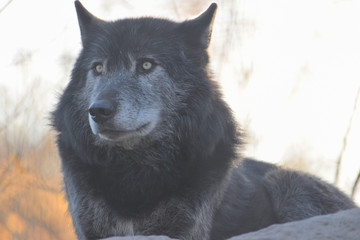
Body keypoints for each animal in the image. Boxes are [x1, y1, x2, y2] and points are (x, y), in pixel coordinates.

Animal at [52, 1, 356, 240]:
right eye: (98, 68)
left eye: (147, 65)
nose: (99, 110)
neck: (135, 174)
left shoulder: (183, 230)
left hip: (285, 181)